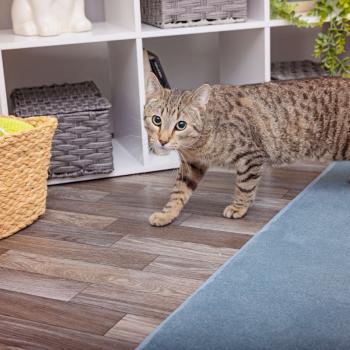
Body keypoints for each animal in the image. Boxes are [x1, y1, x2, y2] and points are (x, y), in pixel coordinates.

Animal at [144, 74, 348, 227]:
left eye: (181, 125)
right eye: (156, 120)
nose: (163, 141)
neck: (198, 143)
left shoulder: (251, 156)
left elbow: (244, 185)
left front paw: (239, 207)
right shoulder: (191, 165)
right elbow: (178, 192)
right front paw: (167, 214)